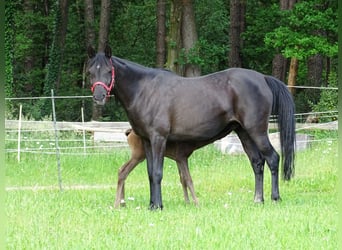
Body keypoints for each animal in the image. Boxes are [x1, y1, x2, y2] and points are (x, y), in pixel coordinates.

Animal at [87, 44, 296, 209]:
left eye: (109, 71)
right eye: (90, 72)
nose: (98, 97)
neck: (144, 90)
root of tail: (263, 78)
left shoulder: (158, 138)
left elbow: (157, 172)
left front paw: (158, 206)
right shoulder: (146, 141)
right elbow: (150, 173)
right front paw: (152, 204)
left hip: (257, 131)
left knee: (273, 158)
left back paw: (275, 198)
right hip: (244, 133)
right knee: (257, 162)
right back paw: (258, 200)